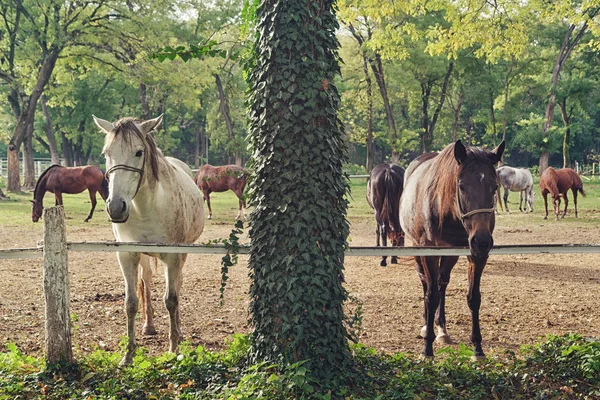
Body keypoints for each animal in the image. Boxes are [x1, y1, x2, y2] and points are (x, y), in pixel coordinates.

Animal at [92, 115, 205, 366]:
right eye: (106, 153)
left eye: (139, 152)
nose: (116, 207)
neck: (147, 208)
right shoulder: (127, 255)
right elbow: (131, 303)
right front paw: (128, 354)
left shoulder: (173, 257)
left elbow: (171, 299)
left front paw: (173, 348)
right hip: (144, 257)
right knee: (147, 279)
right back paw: (149, 326)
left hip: (182, 254)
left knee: (178, 284)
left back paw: (179, 330)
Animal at [400, 140, 504, 360]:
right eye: (462, 186)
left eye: (494, 187)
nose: (482, 241)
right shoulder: (428, 251)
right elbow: (431, 297)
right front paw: (427, 349)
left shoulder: (475, 255)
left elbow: (474, 298)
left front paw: (477, 348)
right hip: (417, 247)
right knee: (426, 283)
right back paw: (426, 326)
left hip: (451, 254)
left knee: (442, 282)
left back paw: (442, 329)